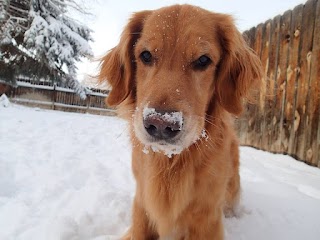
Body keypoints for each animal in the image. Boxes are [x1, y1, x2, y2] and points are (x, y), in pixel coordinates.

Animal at [99, 4, 262, 240]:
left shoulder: (207, 218)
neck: (171, 162)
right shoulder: (142, 204)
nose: (161, 124)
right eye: (145, 55)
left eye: (203, 60)